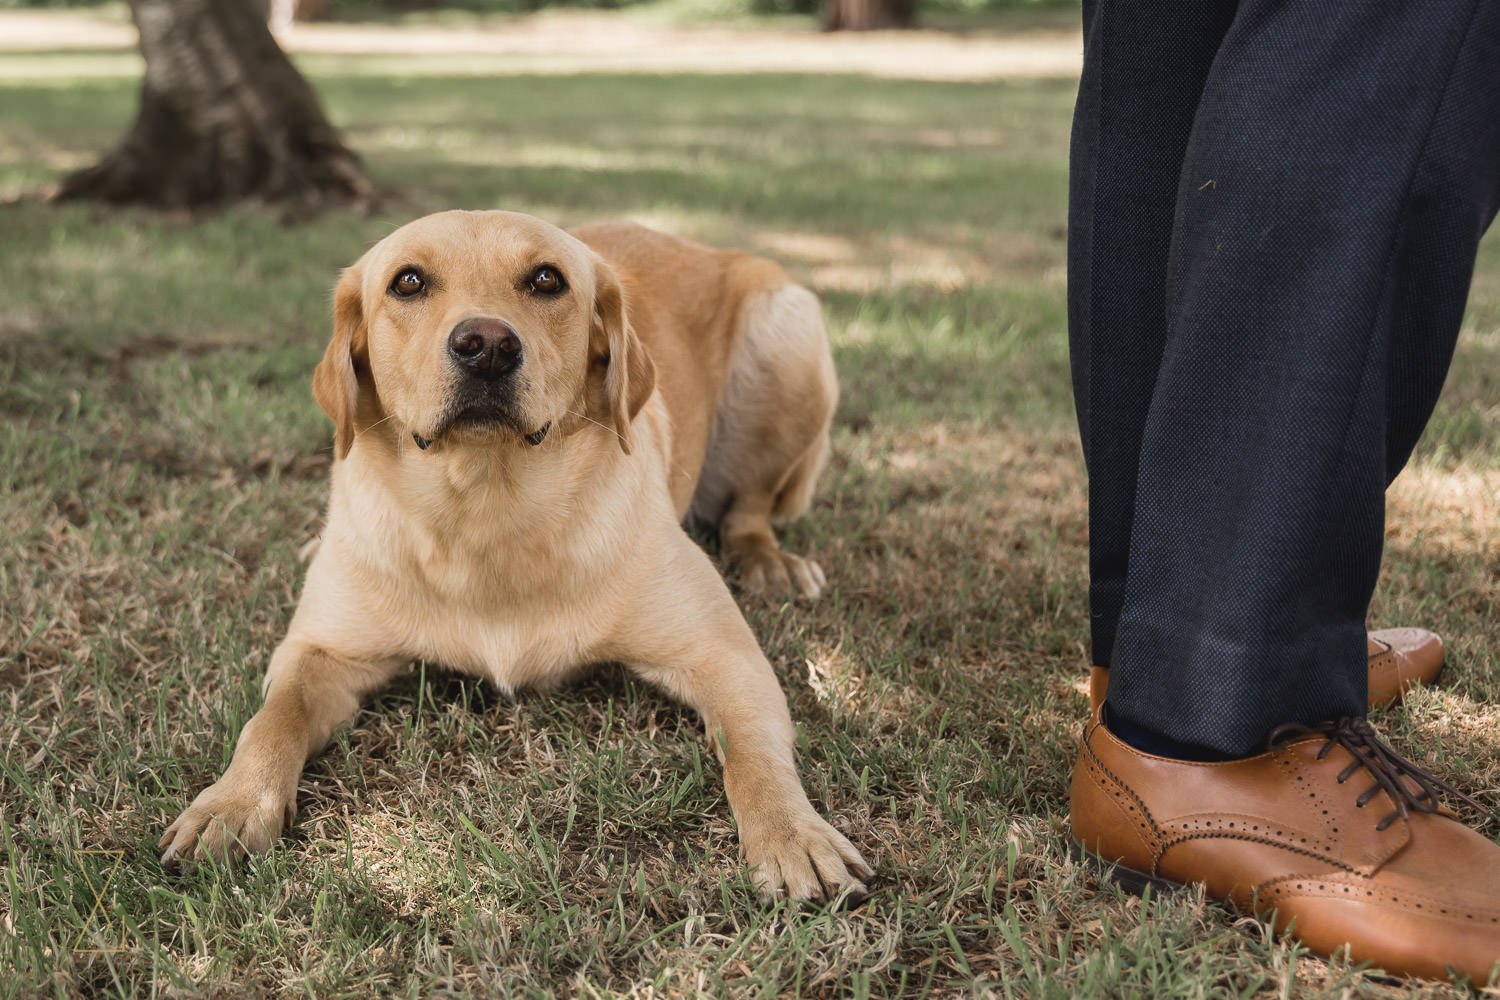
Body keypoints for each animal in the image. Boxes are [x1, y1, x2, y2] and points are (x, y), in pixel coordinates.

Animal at [155, 209, 870, 899]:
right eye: (408, 282)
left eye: (547, 280)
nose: (488, 346)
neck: (485, 508)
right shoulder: (320, 652)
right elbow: (272, 720)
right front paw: (233, 803)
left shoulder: (724, 654)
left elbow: (754, 753)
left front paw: (792, 832)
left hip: (788, 336)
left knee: (751, 509)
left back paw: (770, 562)